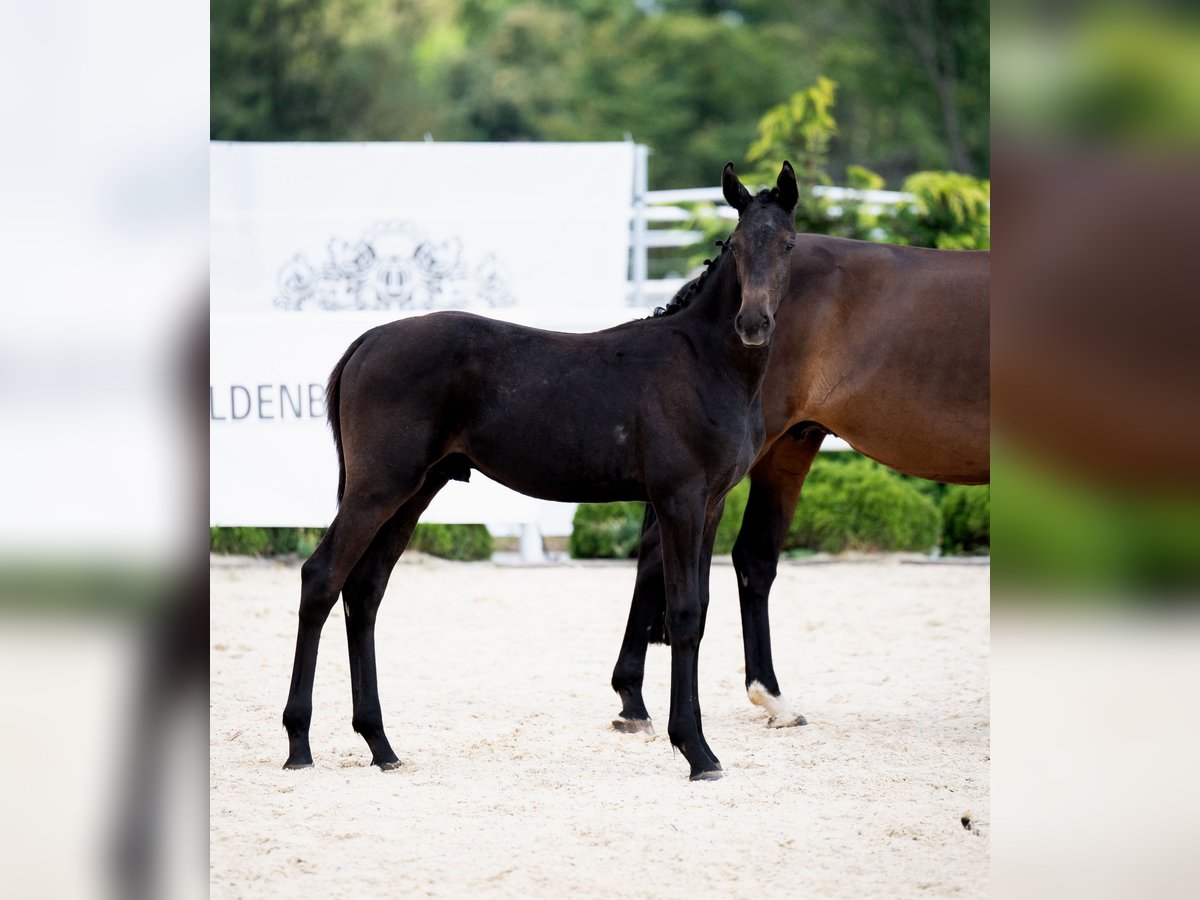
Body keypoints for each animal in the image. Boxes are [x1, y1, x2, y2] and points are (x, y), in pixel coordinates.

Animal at [283, 162, 796, 782]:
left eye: (788, 244)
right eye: (736, 245)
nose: (753, 322)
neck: (703, 362)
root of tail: (367, 340)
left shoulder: (712, 502)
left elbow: (697, 612)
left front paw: (696, 744)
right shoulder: (680, 499)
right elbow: (683, 613)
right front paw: (696, 751)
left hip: (414, 492)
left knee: (364, 592)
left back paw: (381, 745)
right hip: (377, 489)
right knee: (322, 578)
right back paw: (299, 743)